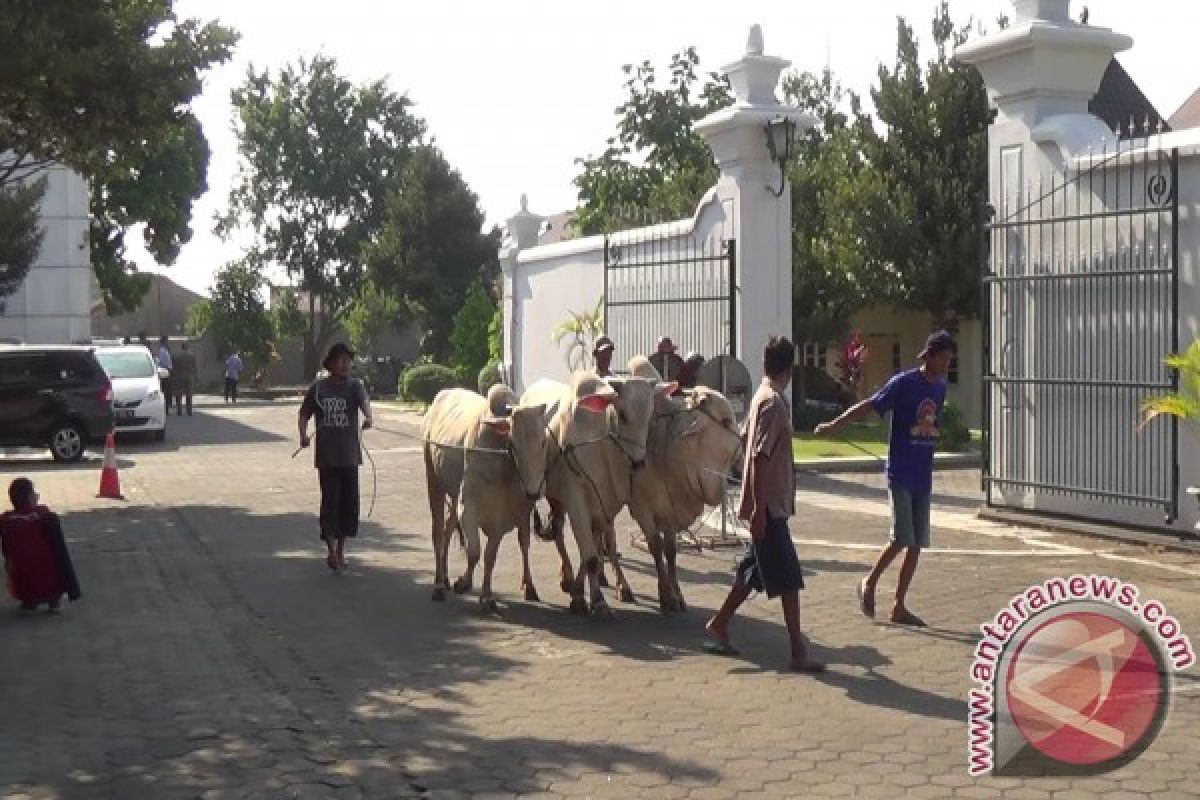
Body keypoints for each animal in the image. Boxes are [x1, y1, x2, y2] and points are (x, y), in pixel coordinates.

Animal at [422, 383, 549, 609]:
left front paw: (487, 596)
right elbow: (474, 552)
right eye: (513, 444)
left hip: (454, 495)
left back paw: (444, 577)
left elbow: (490, 557)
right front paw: (463, 583)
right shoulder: (468, 510)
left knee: (447, 528)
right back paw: (438, 586)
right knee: (437, 532)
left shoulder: (500, 518)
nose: (534, 491)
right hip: (433, 481)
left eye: (543, 442)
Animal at [520, 371, 676, 618]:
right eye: (622, 414)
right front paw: (592, 600)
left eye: (650, 415)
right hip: (541, 495)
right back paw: (542, 583)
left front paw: (596, 590)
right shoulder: (576, 499)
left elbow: (599, 547)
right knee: (539, 536)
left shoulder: (607, 504)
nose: (638, 462)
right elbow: (590, 554)